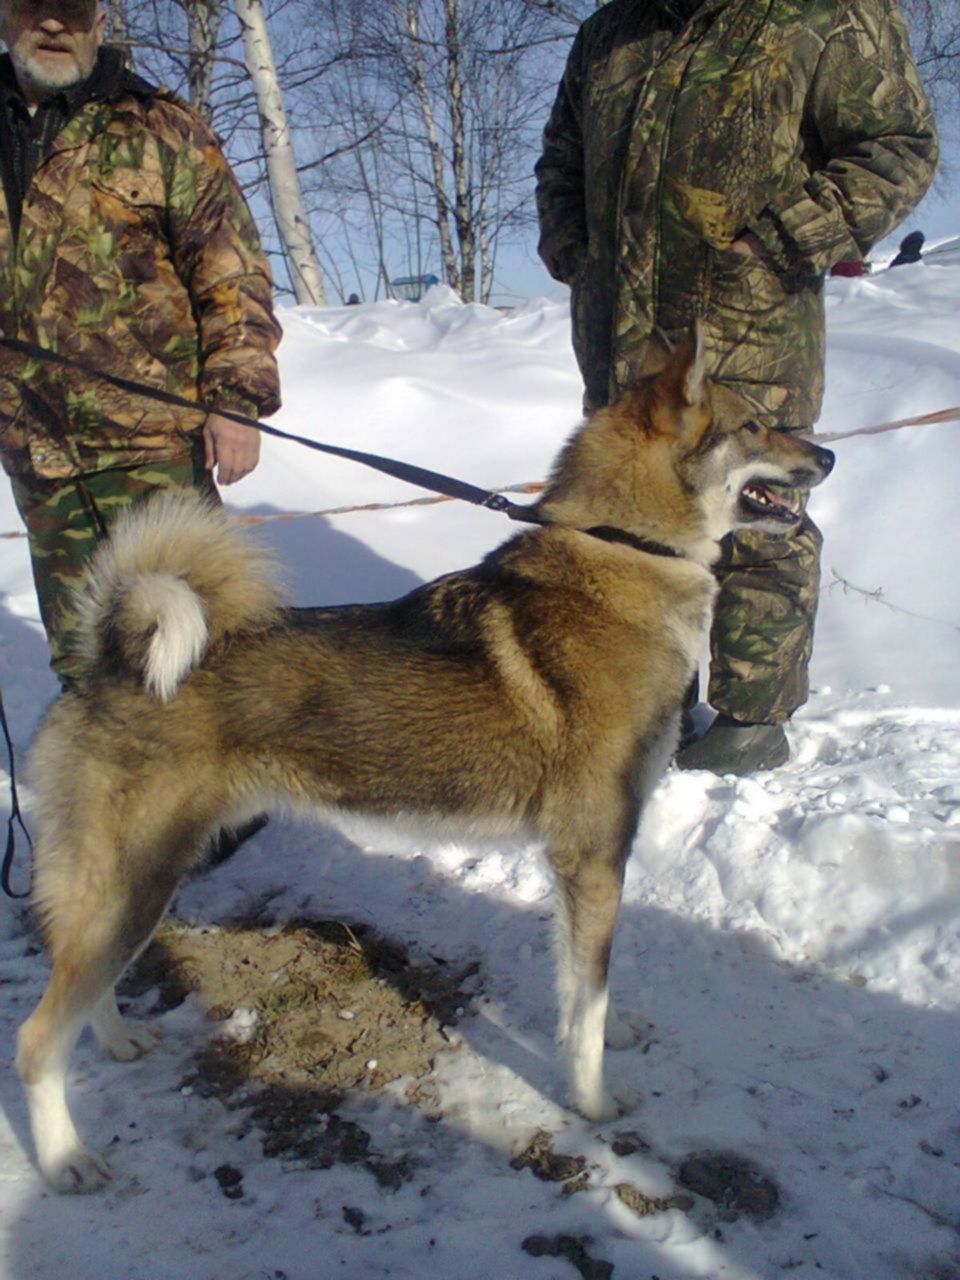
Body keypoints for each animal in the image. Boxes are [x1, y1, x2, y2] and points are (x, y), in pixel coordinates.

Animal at [13, 320, 834, 1187]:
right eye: (756, 425)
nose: (828, 457)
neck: (624, 552)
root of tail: (108, 662)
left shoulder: (582, 865)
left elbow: (585, 985)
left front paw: (613, 1034)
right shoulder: (592, 851)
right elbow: (587, 998)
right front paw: (593, 1100)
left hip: (129, 890)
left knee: (82, 984)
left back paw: (118, 1041)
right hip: (137, 881)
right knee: (38, 1036)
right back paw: (65, 1158)